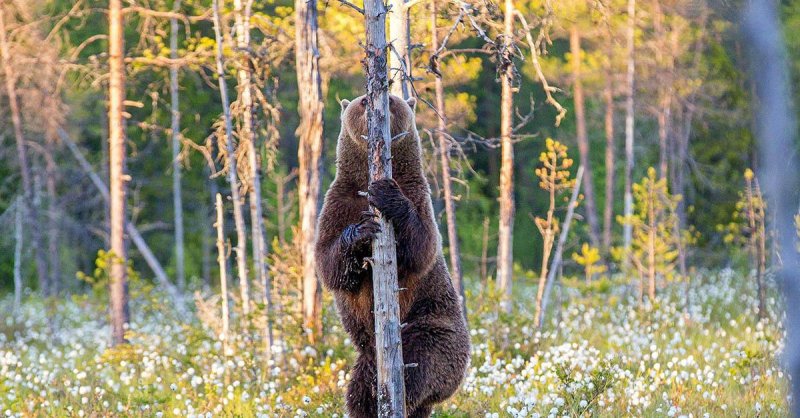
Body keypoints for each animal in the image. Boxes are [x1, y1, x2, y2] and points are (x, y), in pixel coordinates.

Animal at [316, 94, 472, 418]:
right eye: (362, 101)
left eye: (391, 97)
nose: (374, 100)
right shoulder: (338, 202)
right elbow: (328, 261)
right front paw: (361, 232)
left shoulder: (417, 194)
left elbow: (422, 246)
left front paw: (386, 194)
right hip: (367, 355)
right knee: (359, 391)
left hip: (435, 331)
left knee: (419, 364)